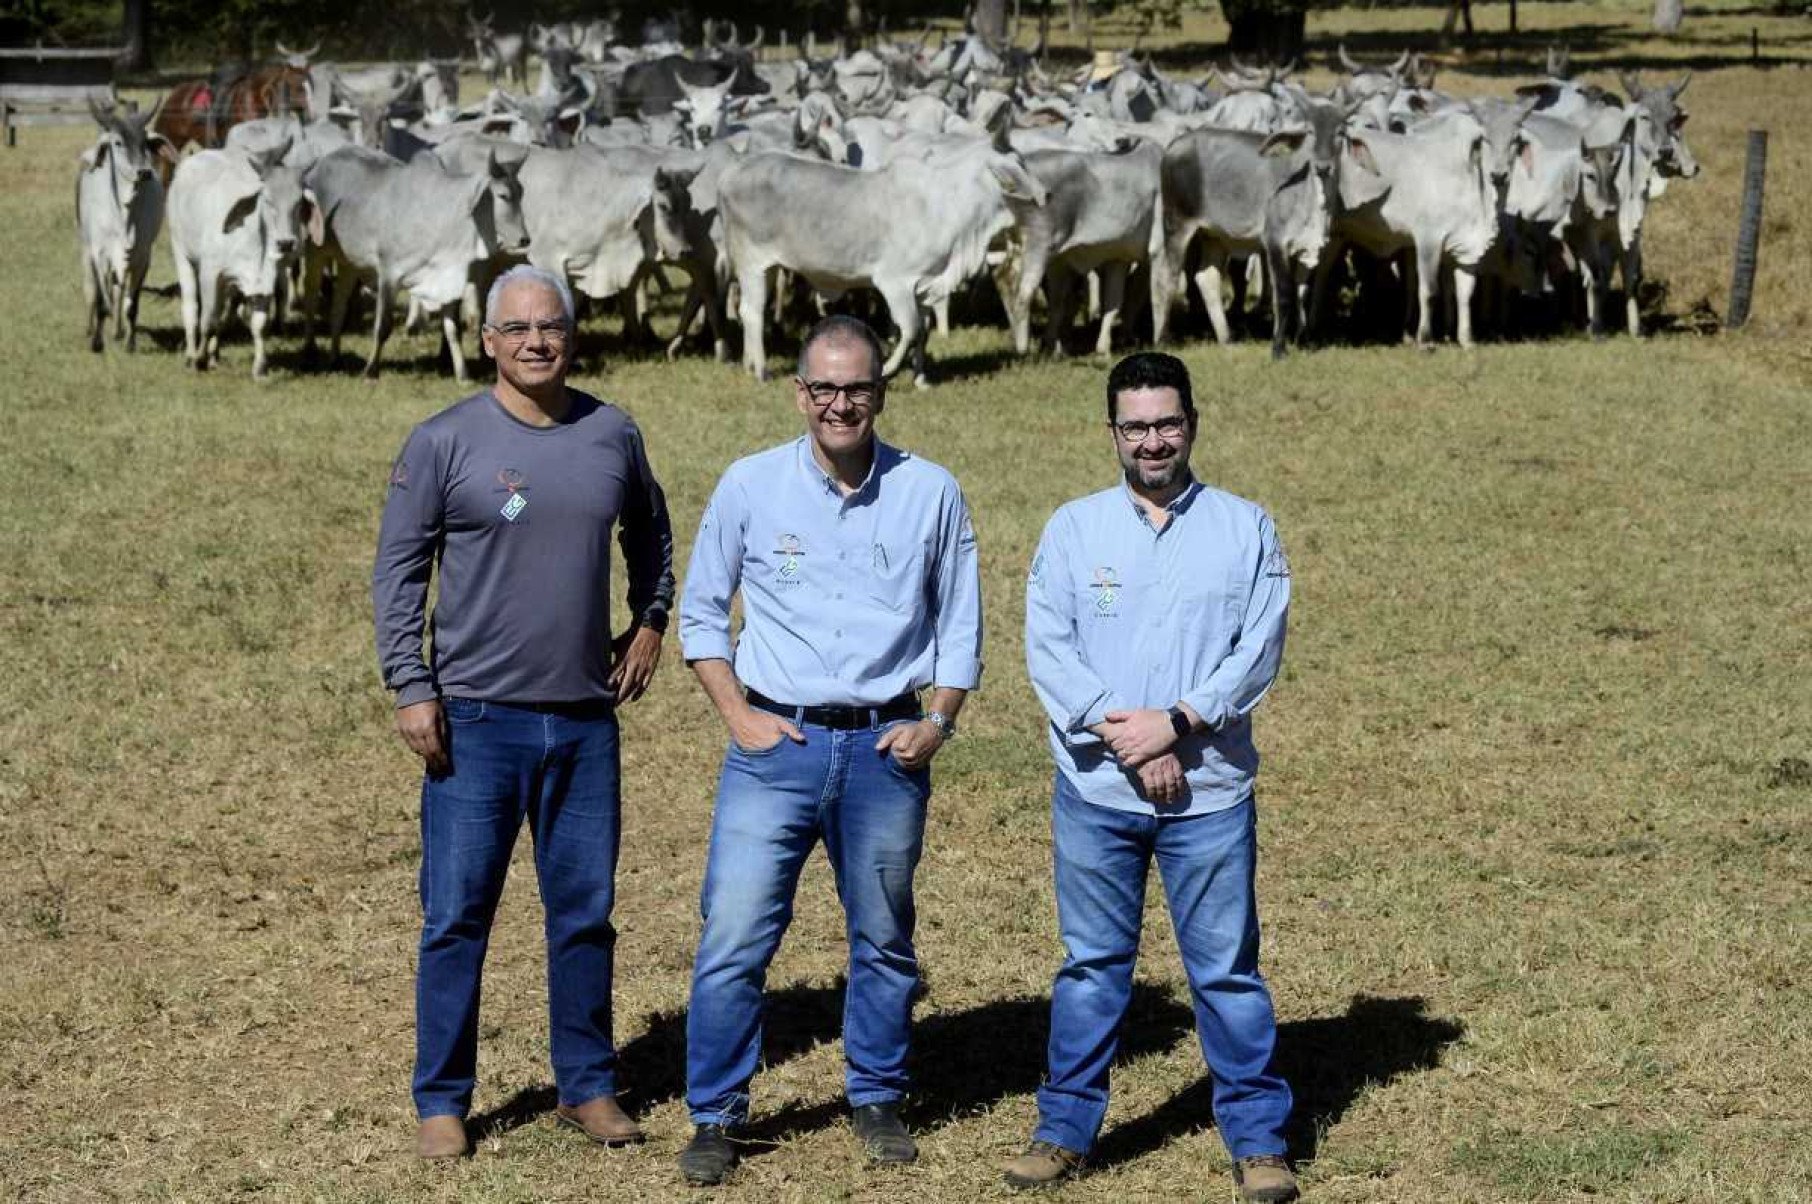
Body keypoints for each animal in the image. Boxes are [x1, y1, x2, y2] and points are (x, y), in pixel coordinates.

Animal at [77, 104, 167, 353]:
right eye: (117, 142)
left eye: (145, 141)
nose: (144, 172)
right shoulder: (99, 254)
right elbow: (100, 299)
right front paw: (97, 343)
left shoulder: (142, 256)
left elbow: (132, 303)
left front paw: (130, 343)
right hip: (86, 247)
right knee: (91, 289)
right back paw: (89, 329)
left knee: (119, 290)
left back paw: (117, 330)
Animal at [166, 142, 315, 377]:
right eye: (267, 200)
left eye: (299, 202)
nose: (286, 243)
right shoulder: (210, 273)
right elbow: (208, 319)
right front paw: (199, 359)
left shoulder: (262, 282)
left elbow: (258, 324)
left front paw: (260, 367)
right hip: (182, 253)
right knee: (191, 306)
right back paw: (191, 354)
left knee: (223, 312)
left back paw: (214, 355)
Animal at [304, 147, 529, 378]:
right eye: (503, 196)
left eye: (521, 193)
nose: (524, 239)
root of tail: (320, 163)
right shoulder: (388, 275)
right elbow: (383, 327)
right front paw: (370, 370)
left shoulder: (446, 280)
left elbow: (452, 328)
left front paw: (462, 373)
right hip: (315, 252)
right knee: (310, 300)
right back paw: (310, 349)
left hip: (349, 265)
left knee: (337, 309)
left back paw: (335, 359)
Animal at [713, 111, 1043, 386]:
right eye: (1018, 165)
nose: (1045, 195)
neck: (948, 204)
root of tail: (733, 172)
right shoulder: (894, 283)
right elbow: (909, 328)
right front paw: (887, 369)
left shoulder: (925, 285)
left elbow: (923, 331)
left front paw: (921, 379)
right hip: (752, 263)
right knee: (752, 312)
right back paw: (761, 371)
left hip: (769, 268)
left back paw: (749, 365)